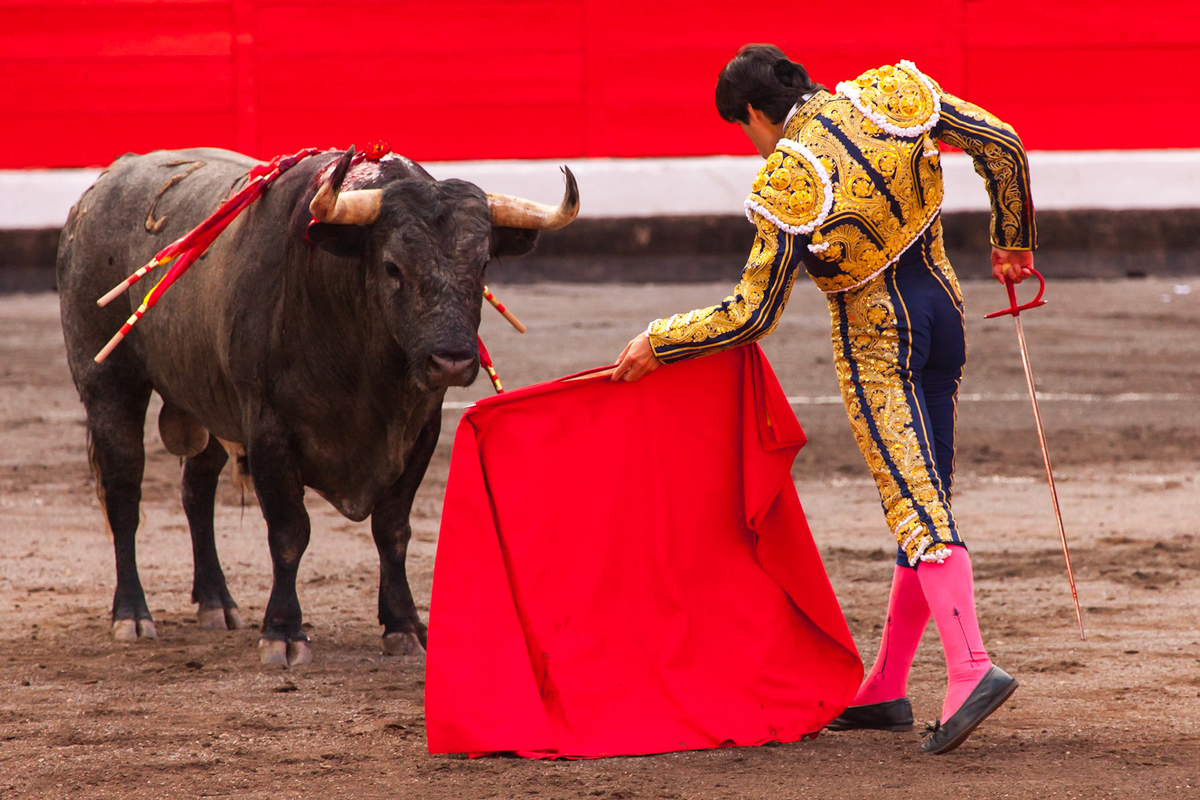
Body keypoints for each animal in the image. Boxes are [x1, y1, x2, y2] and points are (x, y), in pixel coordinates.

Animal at [57, 146, 580, 666]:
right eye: (392, 266)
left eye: (484, 265)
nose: (452, 360)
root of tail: (104, 182)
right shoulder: (268, 428)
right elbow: (290, 532)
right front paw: (284, 633)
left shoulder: (421, 429)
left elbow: (393, 530)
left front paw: (404, 625)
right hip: (107, 381)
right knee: (124, 493)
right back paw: (132, 615)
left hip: (210, 399)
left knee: (196, 491)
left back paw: (216, 603)